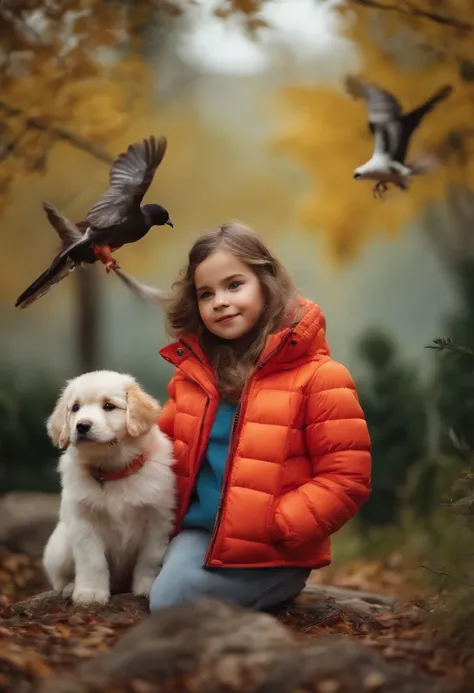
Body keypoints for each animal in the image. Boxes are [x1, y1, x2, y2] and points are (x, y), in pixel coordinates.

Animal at [42, 370, 176, 604]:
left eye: (109, 406)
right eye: (75, 408)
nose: (82, 425)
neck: (113, 470)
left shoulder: (158, 519)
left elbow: (149, 558)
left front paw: (146, 587)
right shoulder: (83, 522)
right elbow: (92, 561)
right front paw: (90, 593)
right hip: (60, 548)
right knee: (59, 579)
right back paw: (70, 587)